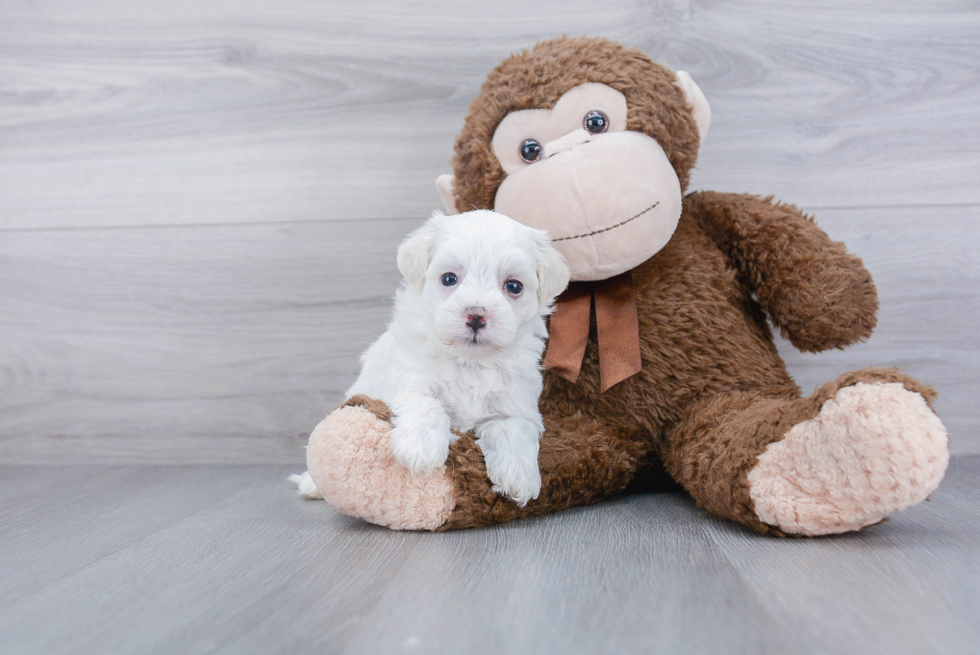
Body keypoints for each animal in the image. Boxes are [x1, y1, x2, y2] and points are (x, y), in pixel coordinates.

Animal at [292, 210, 568, 508]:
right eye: (448, 279)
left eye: (514, 286)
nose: (476, 315)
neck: (469, 362)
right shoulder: (407, 376)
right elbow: (426, 401)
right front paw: (420, 447)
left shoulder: (517, 403)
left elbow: (513, 427)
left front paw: (519, 476)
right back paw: (311, 483)